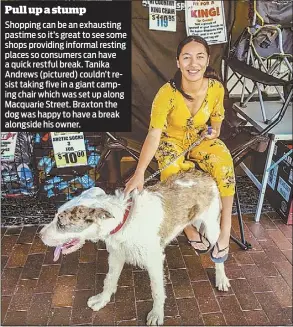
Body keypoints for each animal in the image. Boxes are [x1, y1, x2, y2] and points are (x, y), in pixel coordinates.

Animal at [40, 170, 229, 326]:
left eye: (61, 224)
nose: (40, 235)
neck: (124, 221)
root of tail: (203, 174)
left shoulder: (154, 261)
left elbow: (157, 291)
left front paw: (157, 314)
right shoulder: (116, 255)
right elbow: (109, 280)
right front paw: (102, 299)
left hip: (212, 227)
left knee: (218, 252)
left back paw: (221, 278)